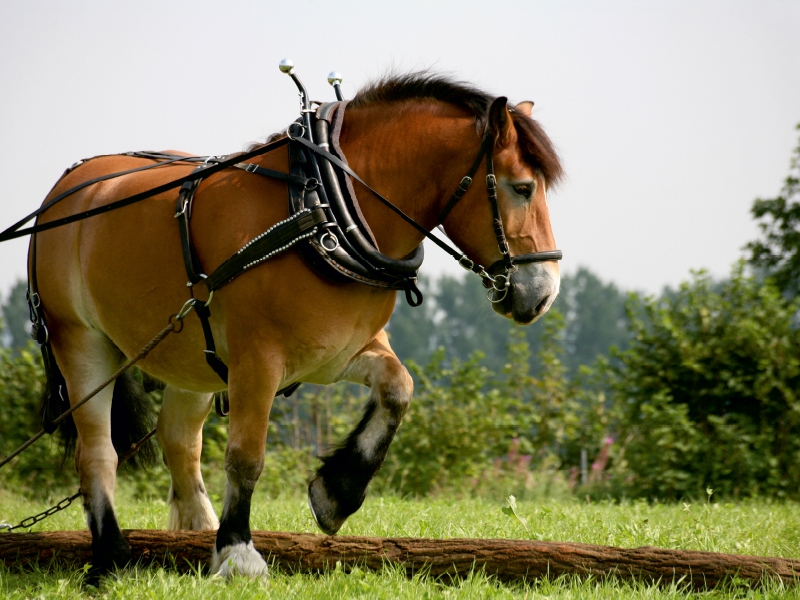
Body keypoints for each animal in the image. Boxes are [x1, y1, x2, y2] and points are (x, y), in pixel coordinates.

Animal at [26, 72, 564, 580]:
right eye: (522, 187)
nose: (544, 293)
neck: (319, 208)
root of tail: (65, 191)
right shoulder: (256, 361)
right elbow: (246, 456)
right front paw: (239, 553)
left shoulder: (340, 351)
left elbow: (398, 388)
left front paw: (335, 492)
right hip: (80, 342)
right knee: (98, 454)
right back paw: (112, 556)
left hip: (191, 360)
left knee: (178, 440)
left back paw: (195, 531)